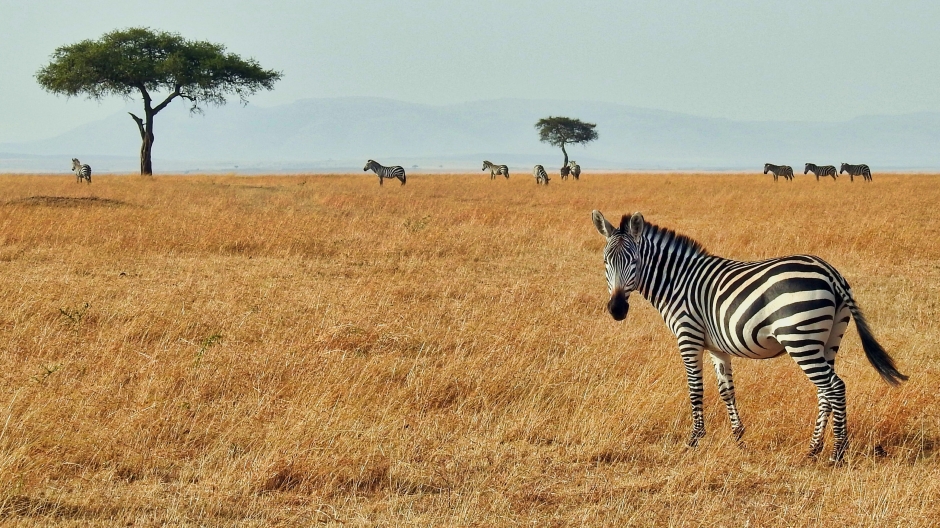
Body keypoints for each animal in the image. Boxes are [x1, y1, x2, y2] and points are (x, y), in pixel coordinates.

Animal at [592, 210, 908, 462]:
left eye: (633, 260)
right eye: (606, 262)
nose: (617, 309)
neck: (677, 281)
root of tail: (830, 273)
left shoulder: (688, 336)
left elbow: (695, 390)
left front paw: (694, 440)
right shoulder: (717, 347)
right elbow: (726, 391)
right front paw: (738, 437)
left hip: (800, 338)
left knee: (835, 387)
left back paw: (836, 453)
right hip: (828, 340)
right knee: (825, 391)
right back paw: (813, 449)